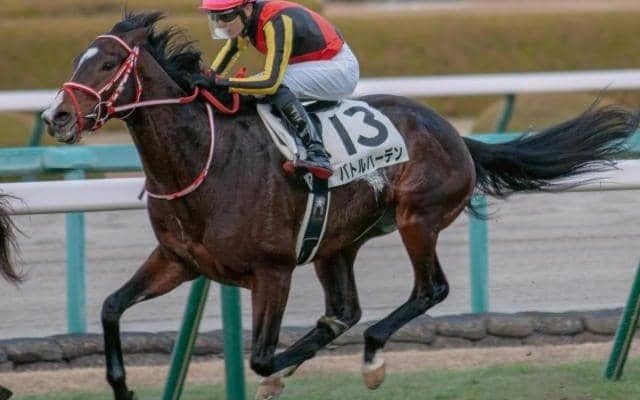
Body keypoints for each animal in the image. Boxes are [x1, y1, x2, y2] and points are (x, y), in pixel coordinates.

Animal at [41, 12, 638, 400]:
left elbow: (260, 356)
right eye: (76, 59)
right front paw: (121, 386)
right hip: (335, 242)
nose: (56, 116)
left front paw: (275, 374)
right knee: (345, 310)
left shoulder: (272, 270)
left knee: (429, 290)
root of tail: (454, 134)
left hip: (416, 218)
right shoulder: (179, 261)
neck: (202, 159)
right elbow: (111, 307)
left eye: (108, 64)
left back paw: (372, 357)